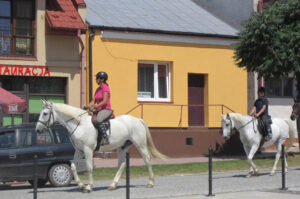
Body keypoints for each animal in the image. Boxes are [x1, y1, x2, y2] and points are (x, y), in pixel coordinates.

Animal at [35, 100, 166, 192]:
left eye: (45, 113)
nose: (38, 130)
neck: (79, 124)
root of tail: (138, 120)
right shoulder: (79, 150)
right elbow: (72, 167)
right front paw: (82, 186)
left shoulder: (87, 150)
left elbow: (89, 167)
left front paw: (89, 187)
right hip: (122, 147)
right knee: (122, 164)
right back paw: (113, 185)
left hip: (140, 145)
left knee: (147, 160)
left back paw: (150, 182)